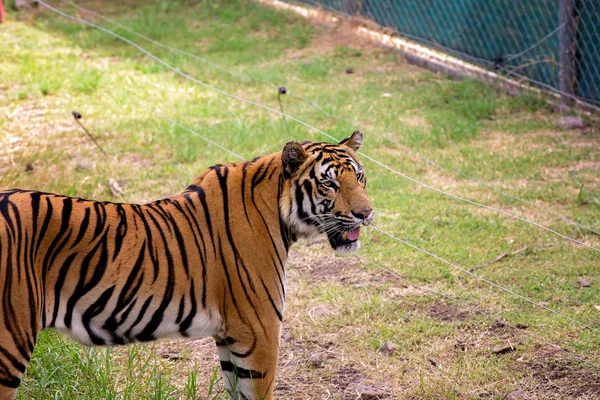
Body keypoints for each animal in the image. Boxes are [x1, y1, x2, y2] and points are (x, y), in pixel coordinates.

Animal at [0, 131, 372, 400]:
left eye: (360, 177)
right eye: (329, 183)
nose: (366, 213)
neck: (279, 213)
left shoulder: (231, 336)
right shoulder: (259, 331)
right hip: (9, 346)